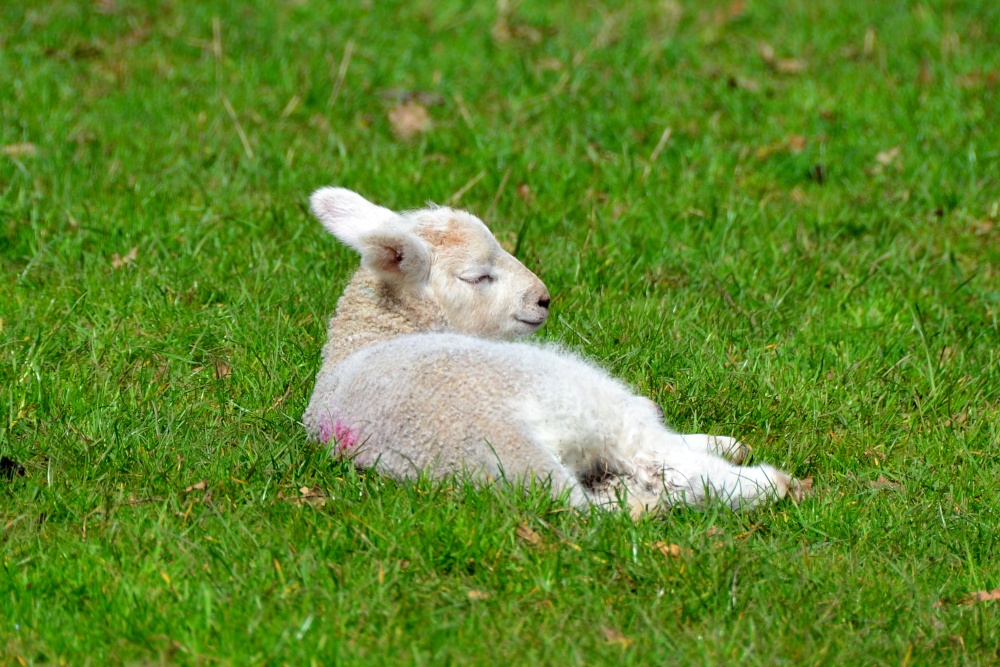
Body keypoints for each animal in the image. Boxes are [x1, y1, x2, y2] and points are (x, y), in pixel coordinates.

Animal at [302, 187, 800, 514]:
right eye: (477, 276)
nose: (543, 299)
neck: (369, 337)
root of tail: (521, 454)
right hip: (579, 396)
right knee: (657, 455)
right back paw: (767, 481)